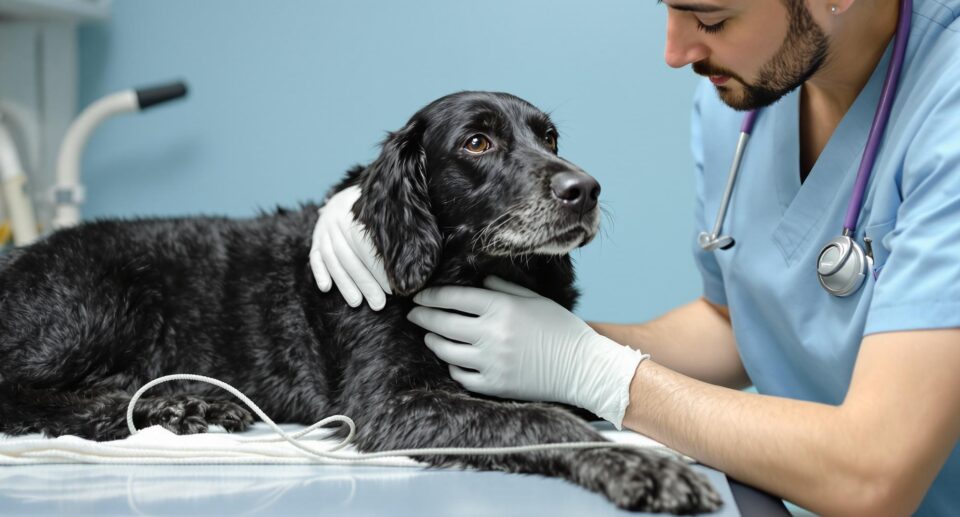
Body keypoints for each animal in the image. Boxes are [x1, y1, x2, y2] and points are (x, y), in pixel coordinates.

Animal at [0, 91, 720, 512]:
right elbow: (540, 421)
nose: (586, 189)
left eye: (550, 138)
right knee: (21, 397)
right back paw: (171, 404)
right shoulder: (388, 406)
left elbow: (554, 403)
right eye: (478, 141)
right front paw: (638, 464)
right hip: (102, 297)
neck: (468, 271)